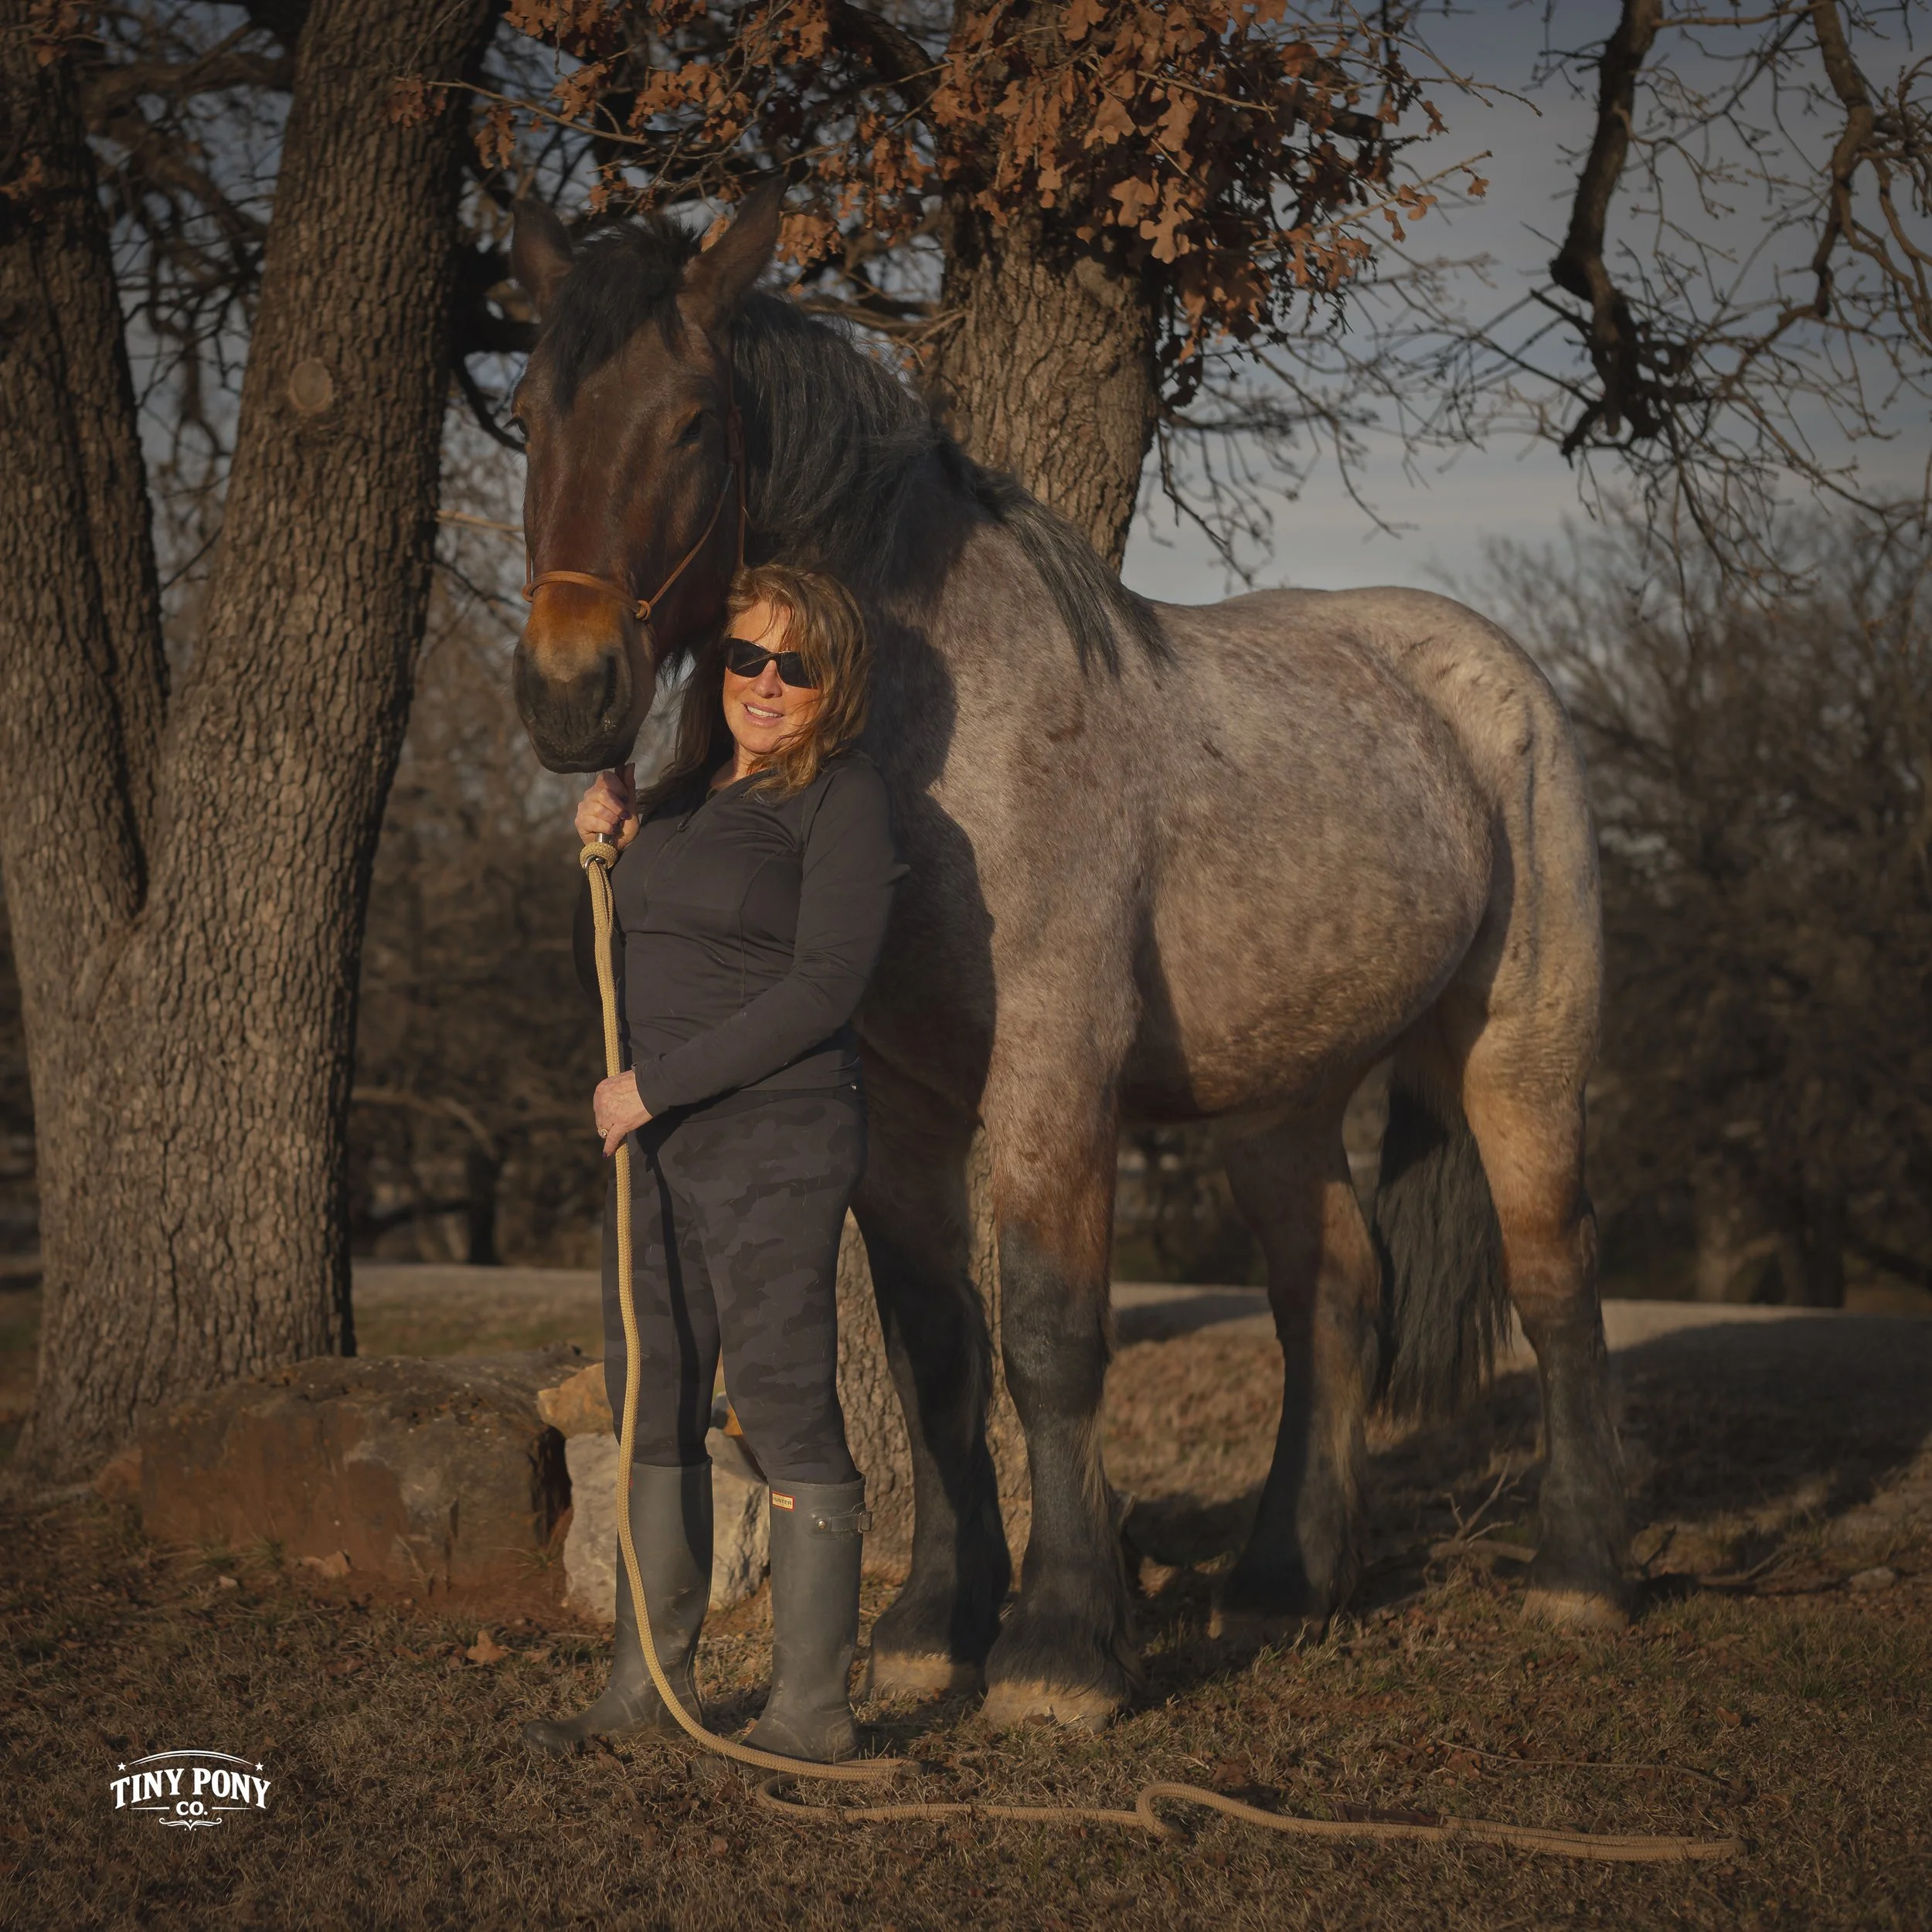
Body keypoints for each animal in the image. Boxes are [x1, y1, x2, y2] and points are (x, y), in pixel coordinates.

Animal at [505, 184, 1625, 1729]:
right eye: (524, 417)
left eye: (687, 420)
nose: (569, 691)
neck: (933, 735)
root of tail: (1492, 674)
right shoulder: (901, 1106)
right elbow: (933, 1344)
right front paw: (932, 1626)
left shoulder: (1052, 1075)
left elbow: (1046, 1335)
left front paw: (1057, 1651)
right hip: (1279, 1100)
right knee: (1334, 1295)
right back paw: (1285, 1577)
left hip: (1520, 1052)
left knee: (1555, 1279)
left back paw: (1578, 1579)